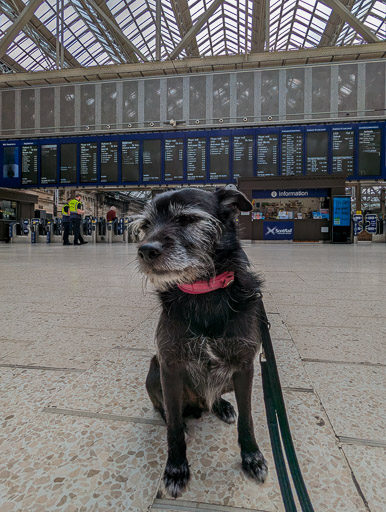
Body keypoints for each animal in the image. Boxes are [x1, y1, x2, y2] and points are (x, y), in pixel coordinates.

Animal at [136, 187, 268, 496]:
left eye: (187, 219)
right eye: (146, 225)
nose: (145, 250)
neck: (203, 292)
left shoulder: (245, 366)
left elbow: (248, 418)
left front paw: (252, 457)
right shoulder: (170, 366)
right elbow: (173, 426)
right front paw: (175, 468)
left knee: (215, 394)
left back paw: (221, 406)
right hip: (154, 370)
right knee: (164, 409)